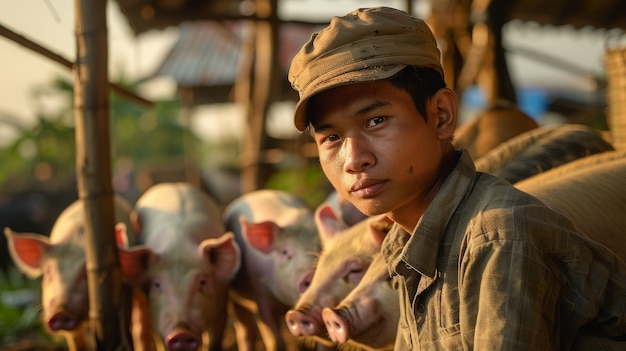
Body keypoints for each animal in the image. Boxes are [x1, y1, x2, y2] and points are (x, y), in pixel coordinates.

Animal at [3, 195, 145, 351]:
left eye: (87, 274)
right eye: (48, 273)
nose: (60, 311)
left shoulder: (125, 288)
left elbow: (125, 321)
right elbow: (76, 343)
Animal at [116, 183, 240, 351]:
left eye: (202, 282)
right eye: (157, 284)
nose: (181, 333)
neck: (179, 246)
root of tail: (173, 184)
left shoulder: (221, 302)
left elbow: (214, 341)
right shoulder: (158, 317)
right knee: (141, 329)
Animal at [222, 190, 320, 351]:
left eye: (322, 246)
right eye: (285, 252)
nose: (312, 273)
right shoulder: (261, 292)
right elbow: (274, 340)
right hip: (236, 299)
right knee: (246, 331)